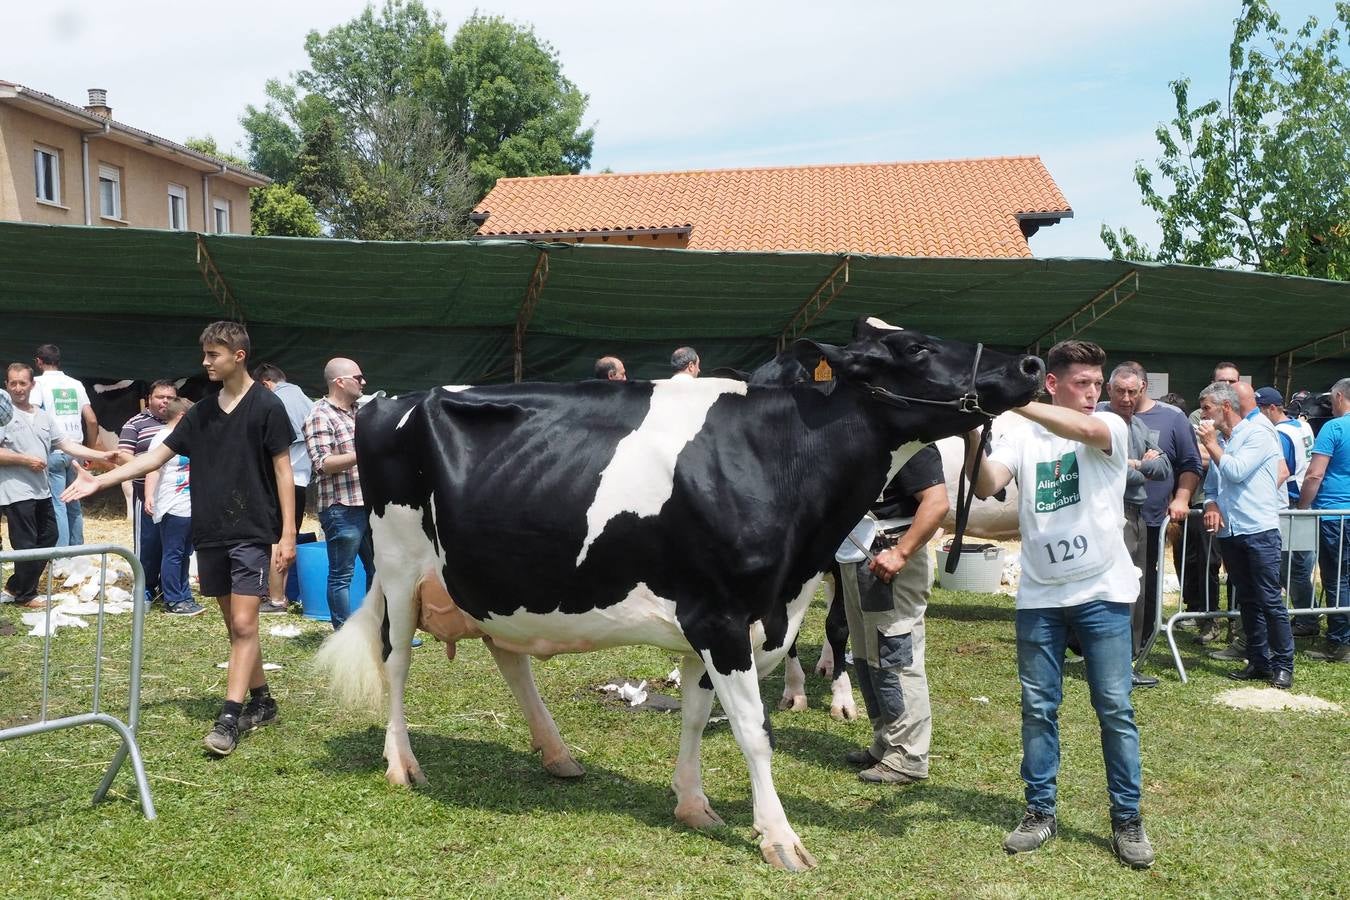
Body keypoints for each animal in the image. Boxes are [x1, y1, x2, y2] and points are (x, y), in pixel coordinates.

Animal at [314, 318, 1044, 871]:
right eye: (917, 348)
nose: (1034, 363)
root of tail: (391, 400)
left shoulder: (721, 619)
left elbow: (697, 715)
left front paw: (694, 806)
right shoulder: (722, 617)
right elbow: (752, 731)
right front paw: (780, 840)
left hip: (494, 578)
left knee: (508, 653)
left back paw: (557, 754)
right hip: (399, 565)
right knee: (395, 660)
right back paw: (401, 764)